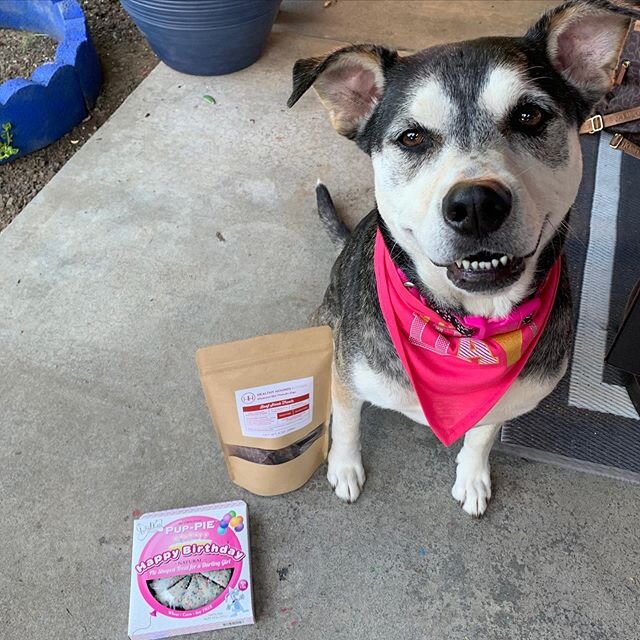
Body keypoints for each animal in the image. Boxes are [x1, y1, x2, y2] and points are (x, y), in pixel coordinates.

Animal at [288, 0, 632, 516]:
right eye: (412, 137)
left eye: (529, 115)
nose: (475, 206)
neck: (468, 329)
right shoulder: (349, 375)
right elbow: (347, 422)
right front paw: (344, 468)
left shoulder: (504, 401)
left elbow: (483, 435)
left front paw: (472, 477)